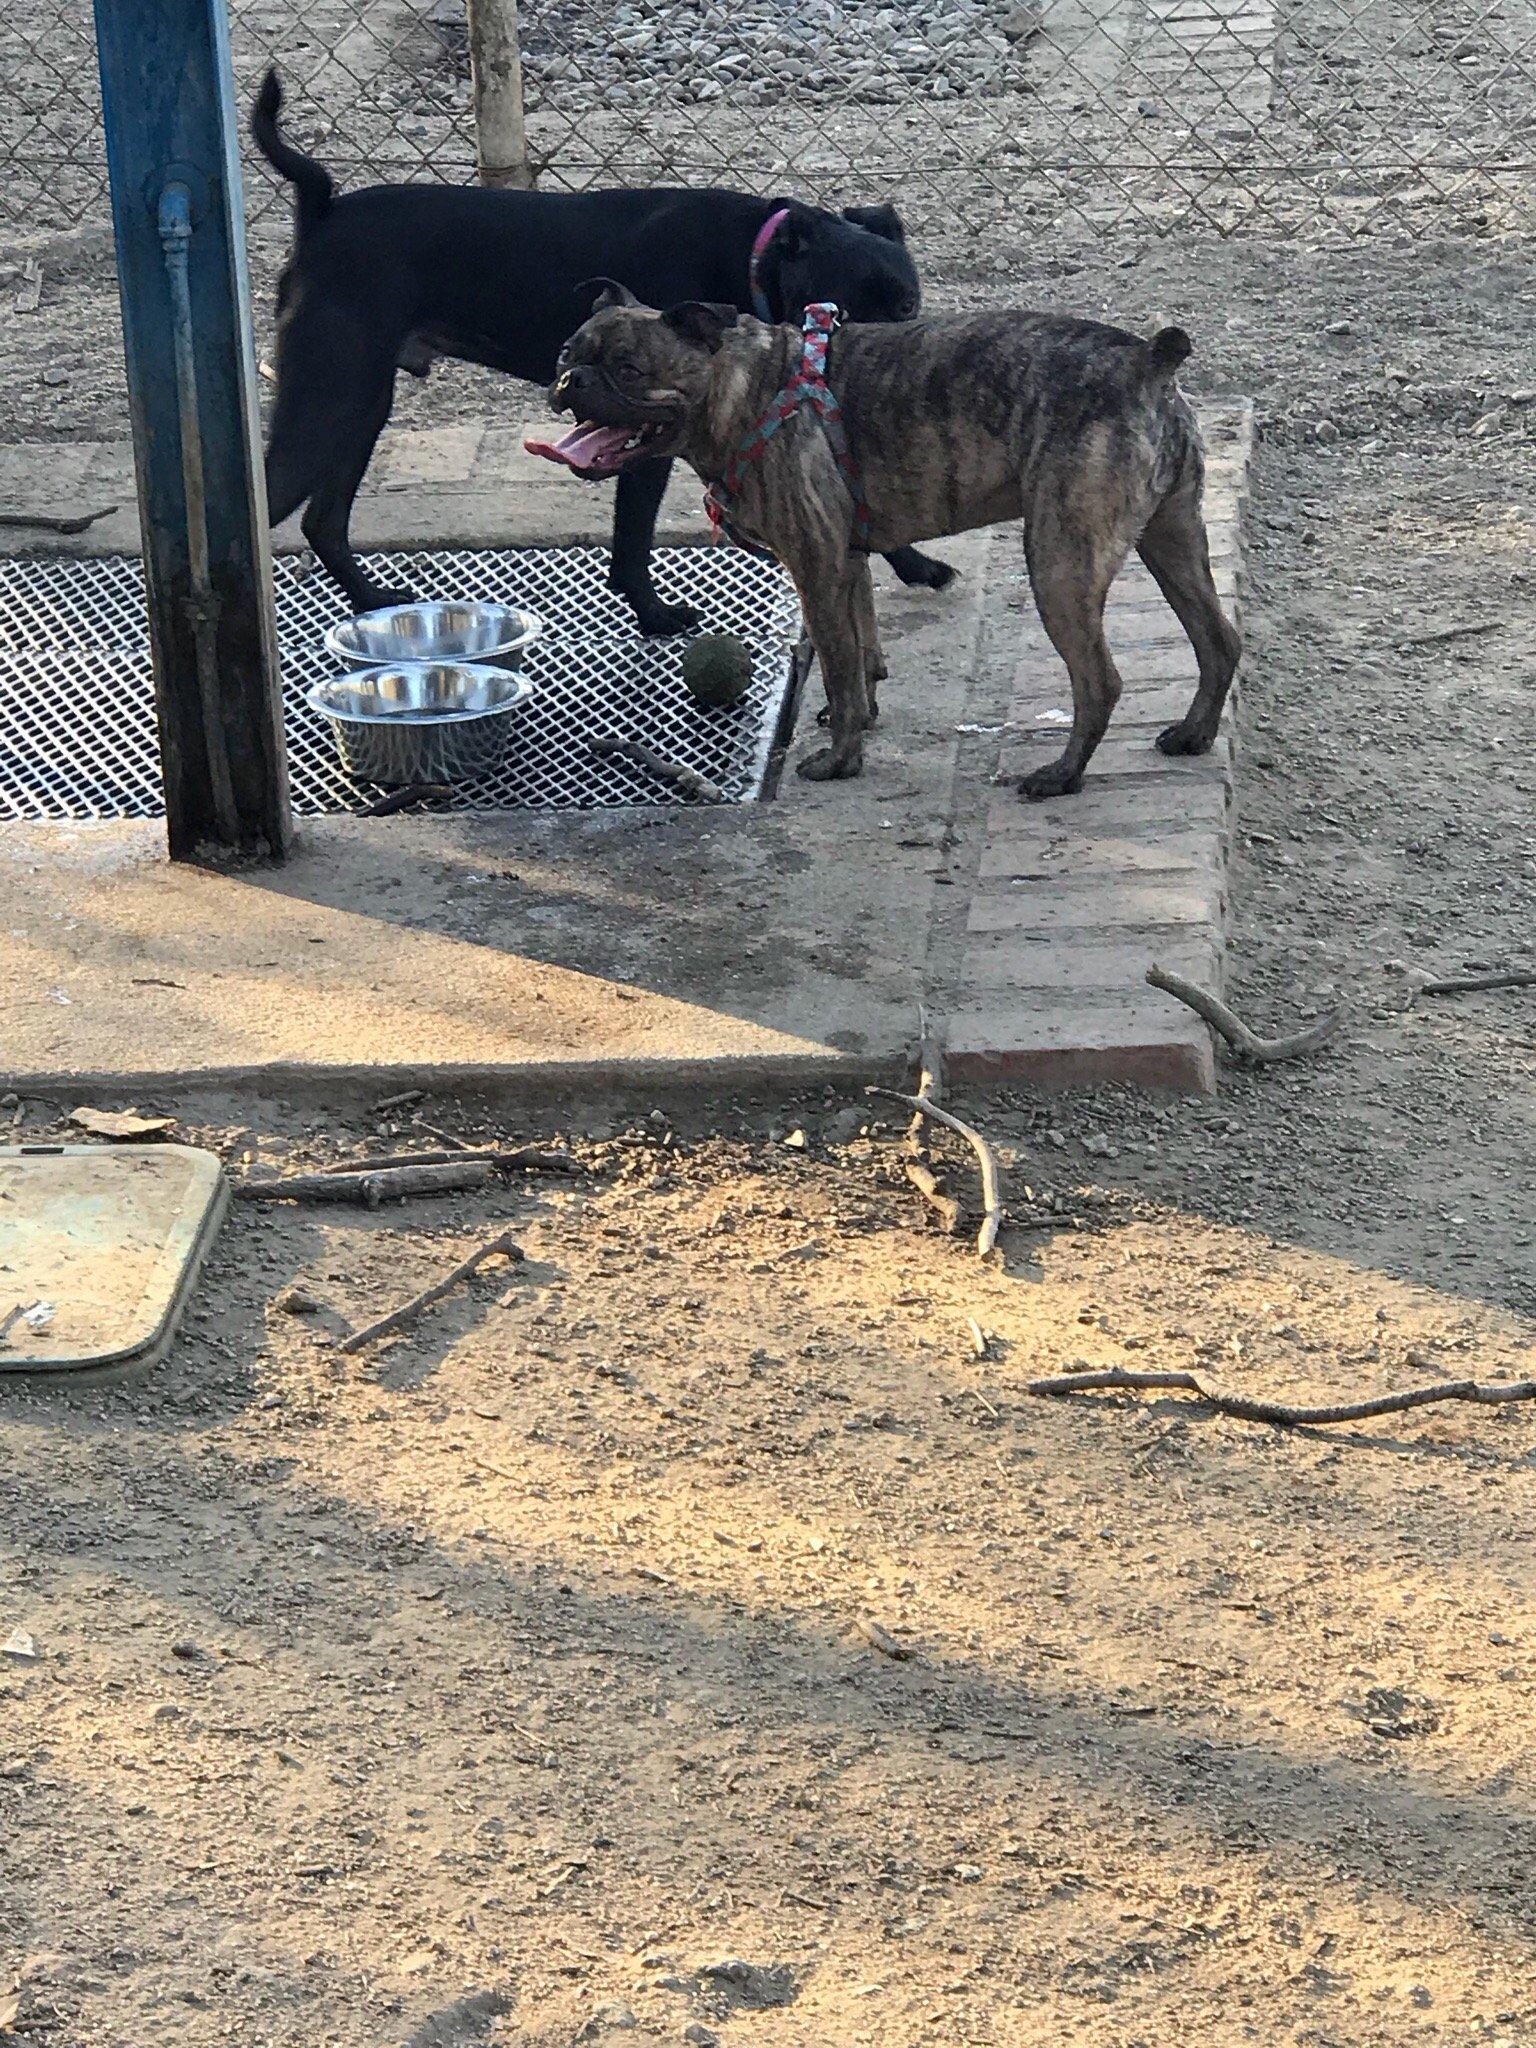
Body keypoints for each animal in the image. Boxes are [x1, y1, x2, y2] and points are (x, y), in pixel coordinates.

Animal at [250, 72, 950, 630]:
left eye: (908, 305)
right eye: (840, 310)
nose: (890, 357)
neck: (754, 257)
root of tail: (322, 214)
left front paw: (914, 564)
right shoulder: (649, 431)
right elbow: (634, 536)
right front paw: (656, 618)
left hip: (359, 405)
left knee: (323, 522)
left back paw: (374, 604)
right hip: (328, 403)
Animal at [536, 284, 1245, 794]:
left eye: (628, 368)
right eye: (567, 353)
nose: (570, 380)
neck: (748, 389)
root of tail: (1148, 364)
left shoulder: (816, 569)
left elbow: (838, 670)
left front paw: (841, 759)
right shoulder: (846, 562)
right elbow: (861, 652)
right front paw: (861, 719)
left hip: (1060, 567)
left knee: (1099, 682)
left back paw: (1062, 776)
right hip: (1172, 543)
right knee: (1218, 640)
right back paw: (1193, 734)